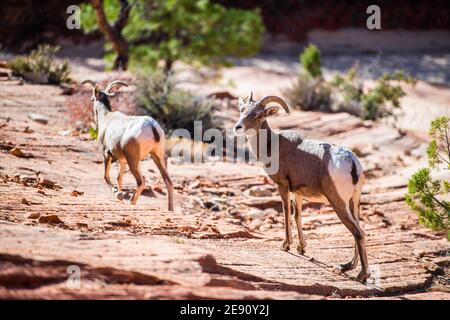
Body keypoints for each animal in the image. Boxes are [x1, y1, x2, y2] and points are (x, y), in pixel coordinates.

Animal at [81, 79, 173, 211]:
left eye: (92, 99)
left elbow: (106, 176)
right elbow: (119, 178)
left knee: (140, 182)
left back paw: (131, 202)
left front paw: (118, 195)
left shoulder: (107, 154)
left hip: (133, 160)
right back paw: (170, 209)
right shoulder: (122, 160)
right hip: (157, 157)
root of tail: (152, 126)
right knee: (168, 181)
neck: (107, 118)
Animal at [236, 93, 370, 282]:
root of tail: (351, 162)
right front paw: (301, 248)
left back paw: (361, 275)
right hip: (353, 202)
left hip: (338, 203)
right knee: (359, 230)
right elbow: (297, 215)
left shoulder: (282, 186)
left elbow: (286, 214)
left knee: (358, 233)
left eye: (258, 114)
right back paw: (345, 266)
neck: (271, 145)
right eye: (241, 110)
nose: (238, 127)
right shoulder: (298, 193)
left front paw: (286, 245)